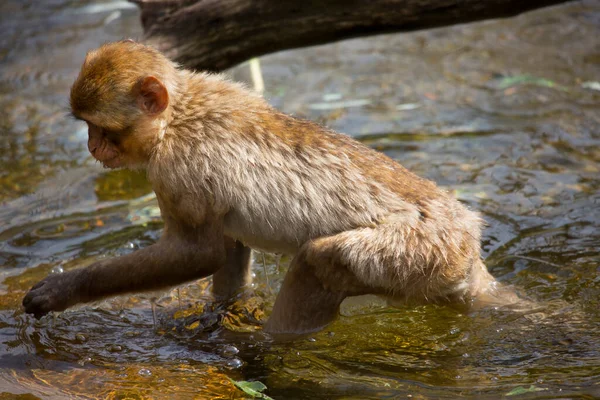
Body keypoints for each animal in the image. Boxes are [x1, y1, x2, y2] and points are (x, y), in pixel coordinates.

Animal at [22, 39, 520, 334]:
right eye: (86, 127)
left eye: (101, 129)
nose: (91, 146)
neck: (176, 116)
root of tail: (470, 240)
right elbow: (226, 248)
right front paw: (220, 312)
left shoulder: (177, 170)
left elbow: (197, 253)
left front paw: (64, 289)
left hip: (421, 250)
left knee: (320, 261)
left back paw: (267, 347)